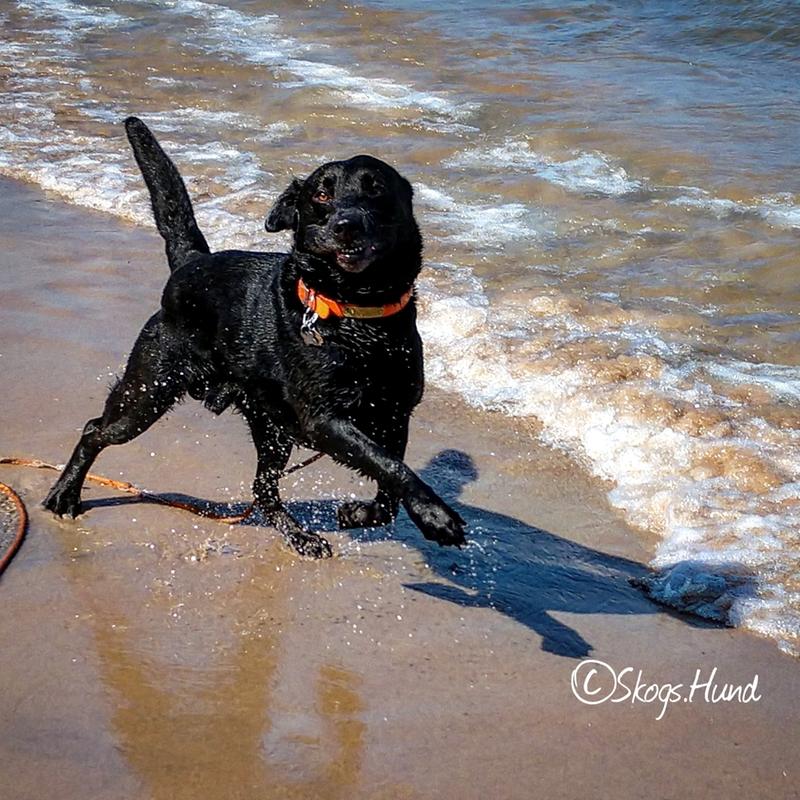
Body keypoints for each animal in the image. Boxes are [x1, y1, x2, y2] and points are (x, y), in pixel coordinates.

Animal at [43, 117, 466, 556]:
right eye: (321, 194)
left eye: (376, 188)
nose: (346, 225)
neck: (355, 313)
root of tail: (192, 262)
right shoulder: (324, 419)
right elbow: (388, 465)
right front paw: (437, 515)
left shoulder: (395, 413)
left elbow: (389, 478)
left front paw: (361, 514)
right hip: (149, 391)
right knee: (95, 430)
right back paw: (64, 495)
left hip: (270, 428)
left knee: (263, 488)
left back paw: (299, 536)